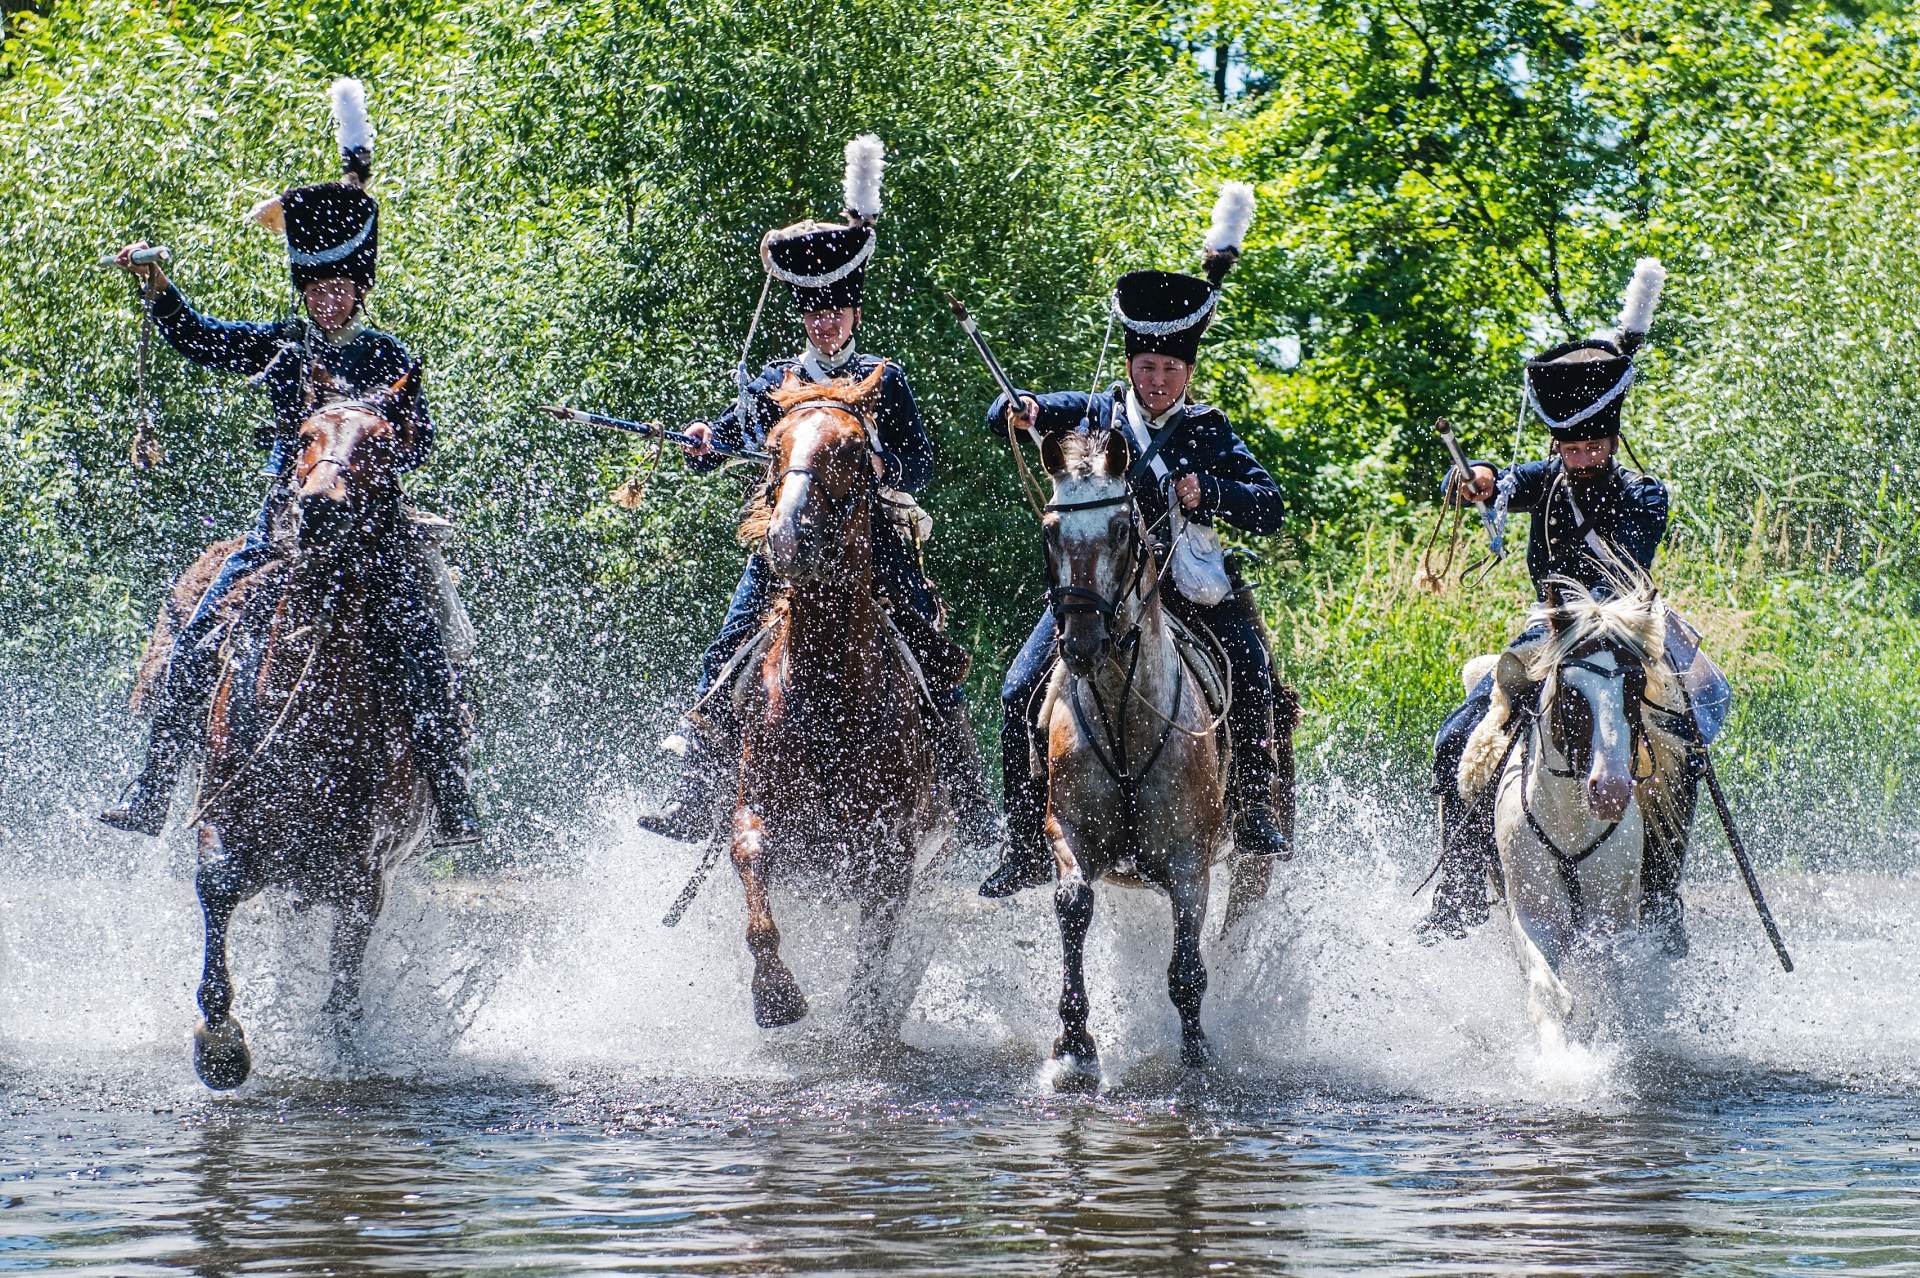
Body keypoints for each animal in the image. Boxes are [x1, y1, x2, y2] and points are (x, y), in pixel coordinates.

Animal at [141, 378, 435, 1082]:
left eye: (384, 443)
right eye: (305, 435)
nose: (321, 509)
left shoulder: (364, 869)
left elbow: (346, 971)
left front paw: (343, 1042)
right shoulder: (224, 820)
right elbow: (216, 885)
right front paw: (221, 1043)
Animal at [721, 360, 940, 1036]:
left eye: (849, 449)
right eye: (774, 447)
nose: (790, 537)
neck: (826, 692)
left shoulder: (891, 851)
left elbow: (875, 949)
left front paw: (863, 1022)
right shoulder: (760, 815)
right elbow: (751, 868)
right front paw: (775, 997)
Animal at [1036, 427, 1259, 1082]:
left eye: (1120, 529)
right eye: (1051, 529)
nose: (1082, 642)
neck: (1123, 714)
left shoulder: (1189, 863)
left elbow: (1187, 968)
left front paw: (1197, 1053)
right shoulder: (1071, 836)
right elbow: (1073, 907)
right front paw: (1073, 1046)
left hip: (1254, 859)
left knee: (1237, 926)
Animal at [1459, 575, 1689, 1043]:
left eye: (1634, 686)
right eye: (1570, 690)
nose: (1611, 790)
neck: (1572, 821)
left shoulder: (1612, 922)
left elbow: (1612, 991)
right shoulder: (1535, 918)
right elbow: (1548, 994)